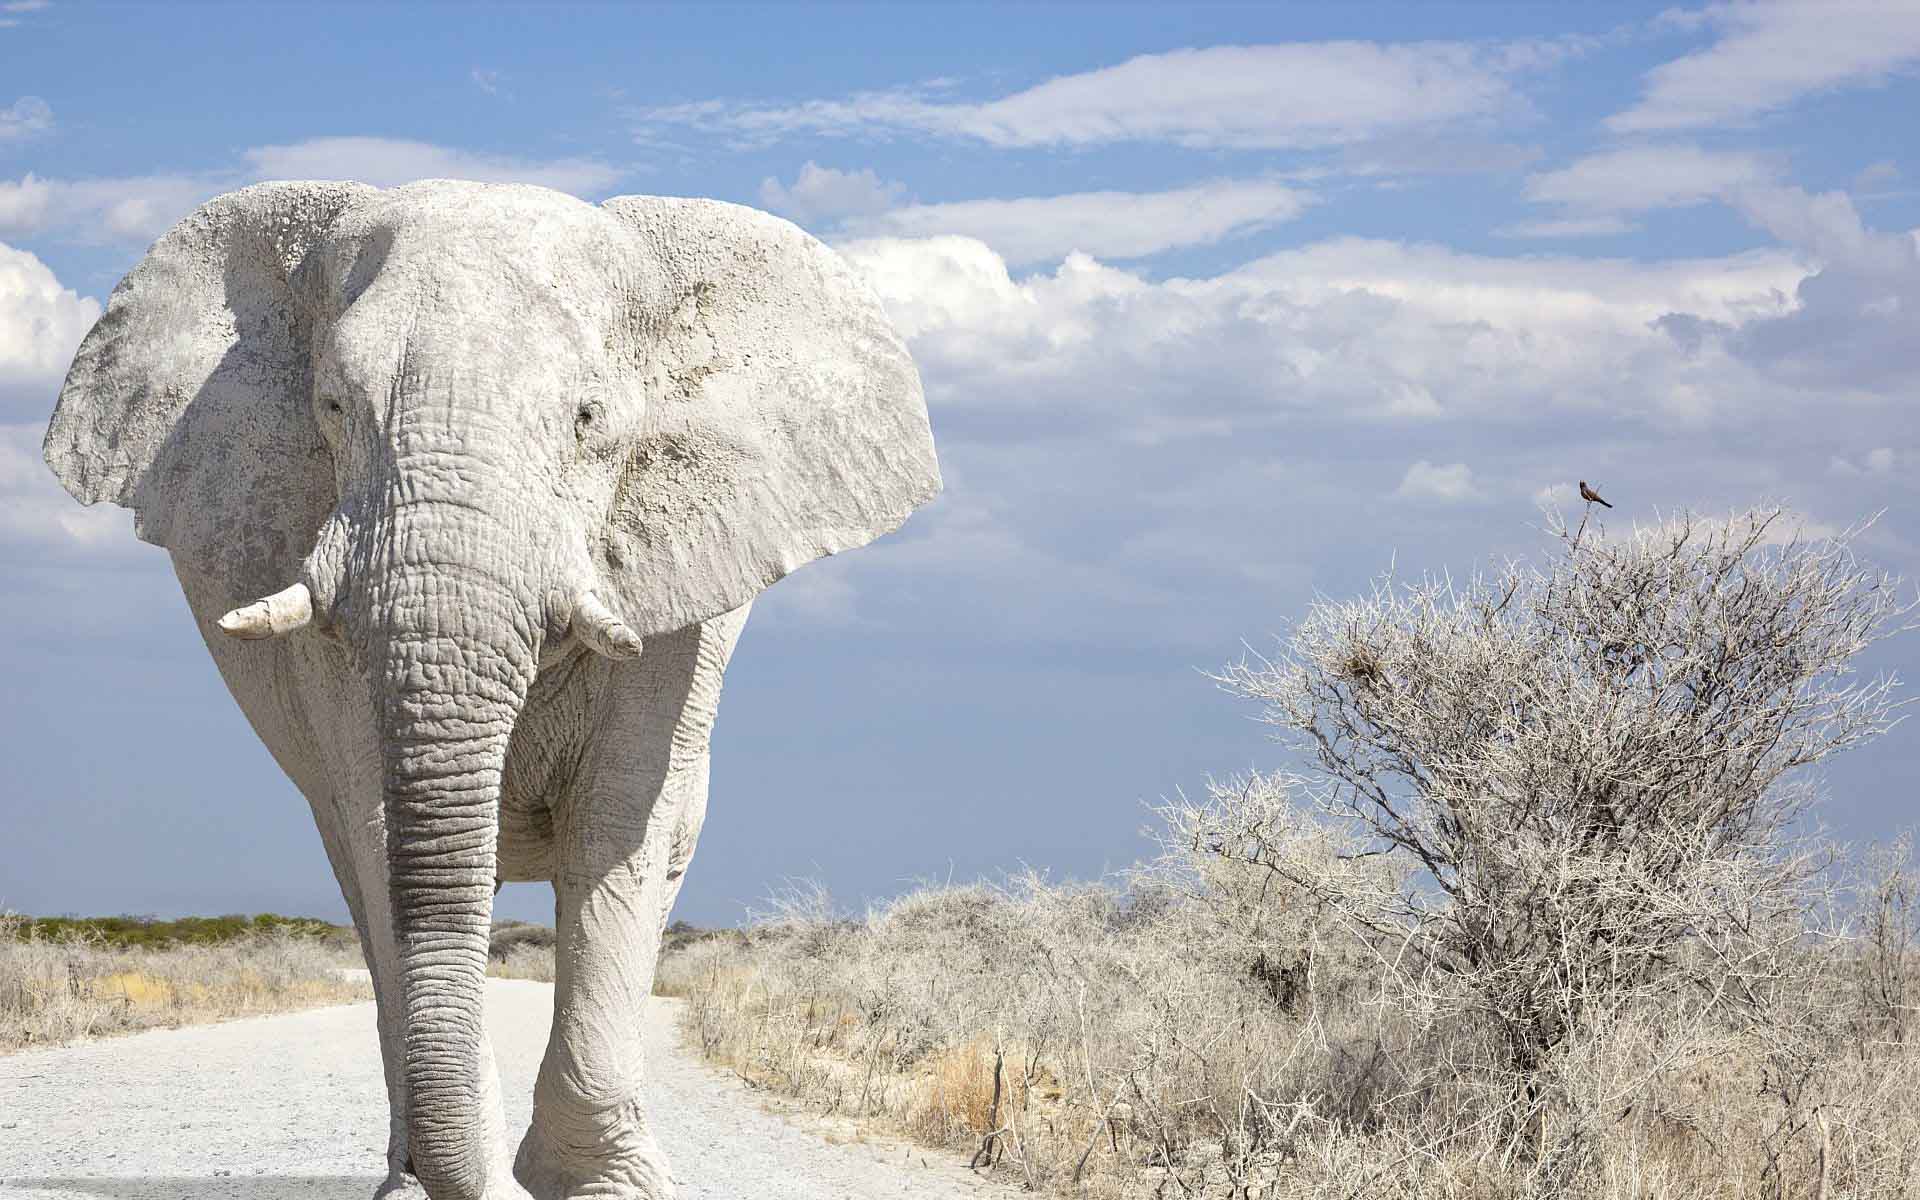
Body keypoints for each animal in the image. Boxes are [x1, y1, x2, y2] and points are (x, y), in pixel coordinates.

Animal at [42, 179, 940, 1199]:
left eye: (589, 418)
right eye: (332, 405)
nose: (489, 1182)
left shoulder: (673, 622)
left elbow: (616, 825)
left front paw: (604, 1188)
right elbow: (385, 830)